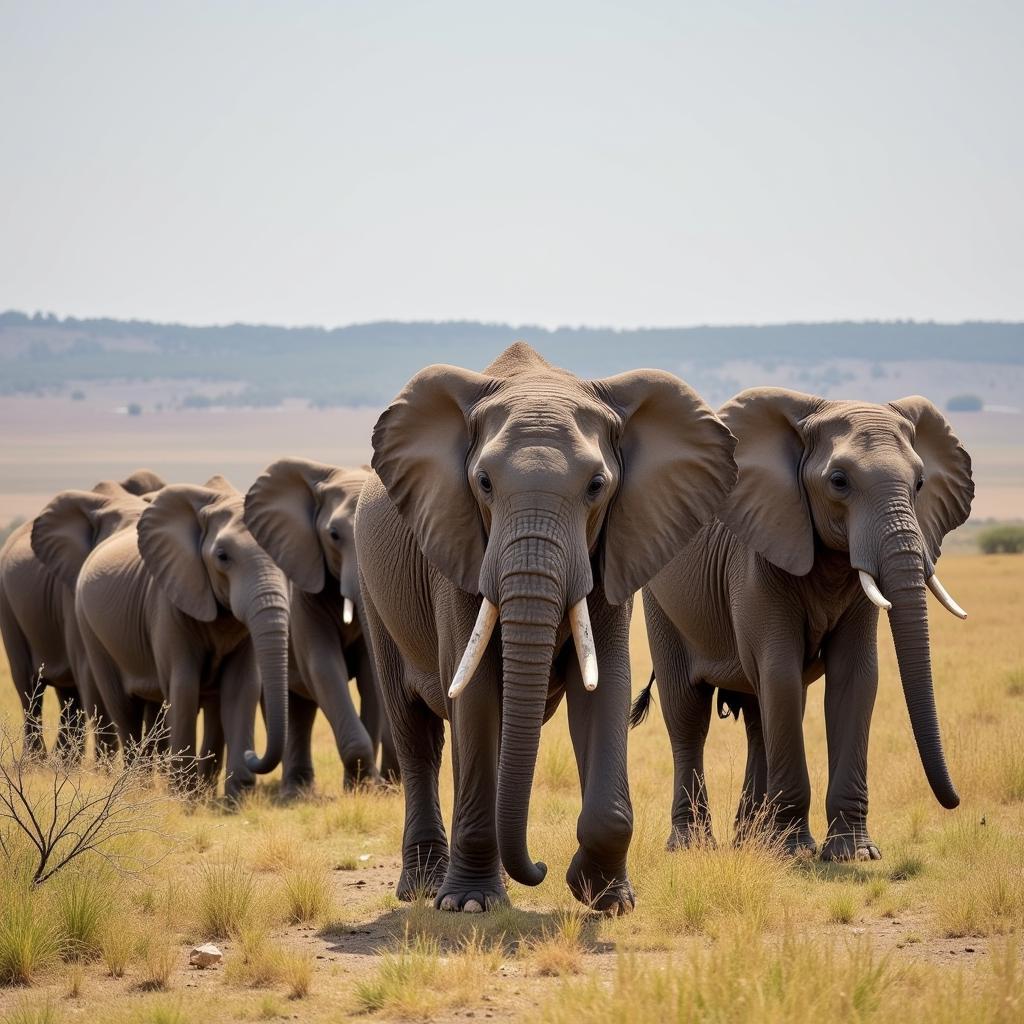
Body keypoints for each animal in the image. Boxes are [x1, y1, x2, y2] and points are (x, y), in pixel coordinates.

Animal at [0, 468, 163, 757]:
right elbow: (89, 673)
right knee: (30, 688)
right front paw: (104, 766)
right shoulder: (72, 590)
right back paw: (38, 761)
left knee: (68, 693)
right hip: (8, 604)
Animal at [69, 479, 290, 798]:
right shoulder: (167, 605)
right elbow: (183, 686)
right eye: (222, 557)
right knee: (123, 707)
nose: (253, 754)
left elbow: (242, 686)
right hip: (90, 626)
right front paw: (183, 796)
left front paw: (232, 799)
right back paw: (136, 788)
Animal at [241, 460, 397, 794]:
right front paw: (362, 786)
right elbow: (322, 666)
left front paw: (365, 787)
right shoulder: (305, 589)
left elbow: (369, 675)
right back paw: (294, 793)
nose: (389, 781)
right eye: (334, 535)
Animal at [354, 342, 737, 913]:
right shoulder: (458, 548)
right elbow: (475, 692)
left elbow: (605, 684)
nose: (541, 867)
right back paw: (424, 887)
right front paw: (470, 905)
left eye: (597, 486)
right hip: (373, 590)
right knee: (416, 732)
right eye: (483, 483)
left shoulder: (617, 546)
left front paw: (605, 898)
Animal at [634, 387, 970, 860]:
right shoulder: (756, 559)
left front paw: (853, 853)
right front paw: (794, 852)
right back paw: (693, 846)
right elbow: (781, 673)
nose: (955, 801)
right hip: (661, 601)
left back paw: (751, 842)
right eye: (839, 481)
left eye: (920, 482)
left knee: (758, 718)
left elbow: (855, 678)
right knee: (688, 715)